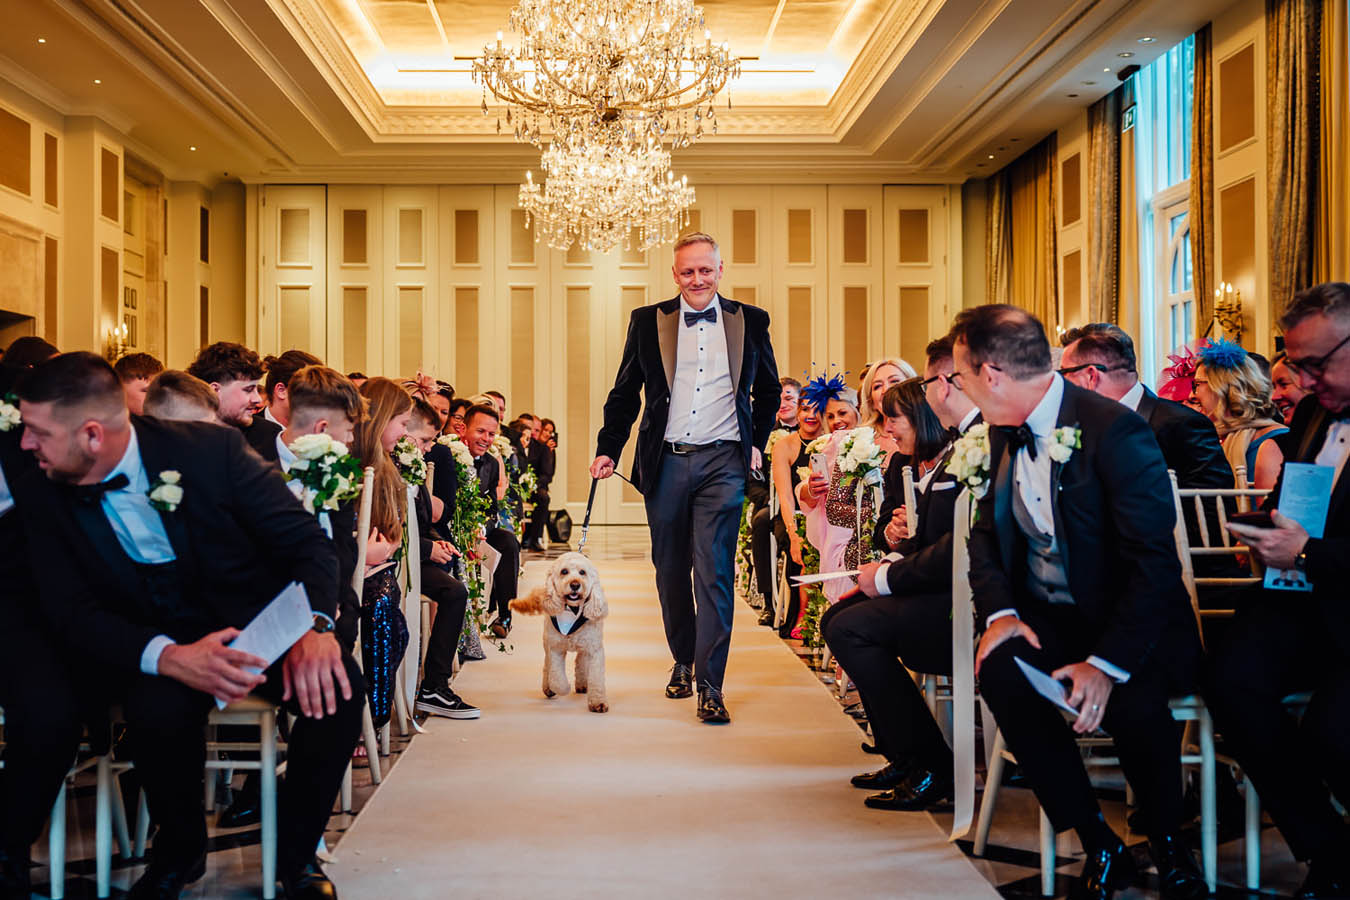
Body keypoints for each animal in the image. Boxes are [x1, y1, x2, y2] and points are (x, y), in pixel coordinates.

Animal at [510, 551, 609, 713]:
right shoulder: (555, 648)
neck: (573, 610)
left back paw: (582, 683)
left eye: (582, 572)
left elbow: (596, 678)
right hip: (547, 642)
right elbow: (556, 678)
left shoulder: (594, 649)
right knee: (547, 666)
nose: (575, 584)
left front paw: (598, 703)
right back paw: (548, 688)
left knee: (581, 661)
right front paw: (562, 688)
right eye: (564, 571)